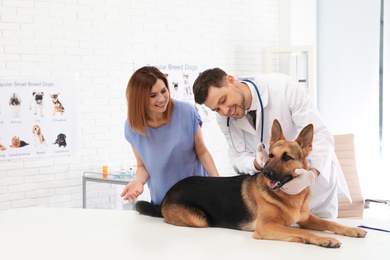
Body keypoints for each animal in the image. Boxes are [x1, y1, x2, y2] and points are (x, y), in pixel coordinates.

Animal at [136, 120, 368, 248]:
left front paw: (351, 230)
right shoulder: (266, 227)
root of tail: (168, 193)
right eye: (270, 155)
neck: (289, 196)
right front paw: (321, 240)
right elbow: (303, 233)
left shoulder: (306, 218)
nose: (265, 172)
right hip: (200, 220)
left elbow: (331, 224)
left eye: (286, 158)